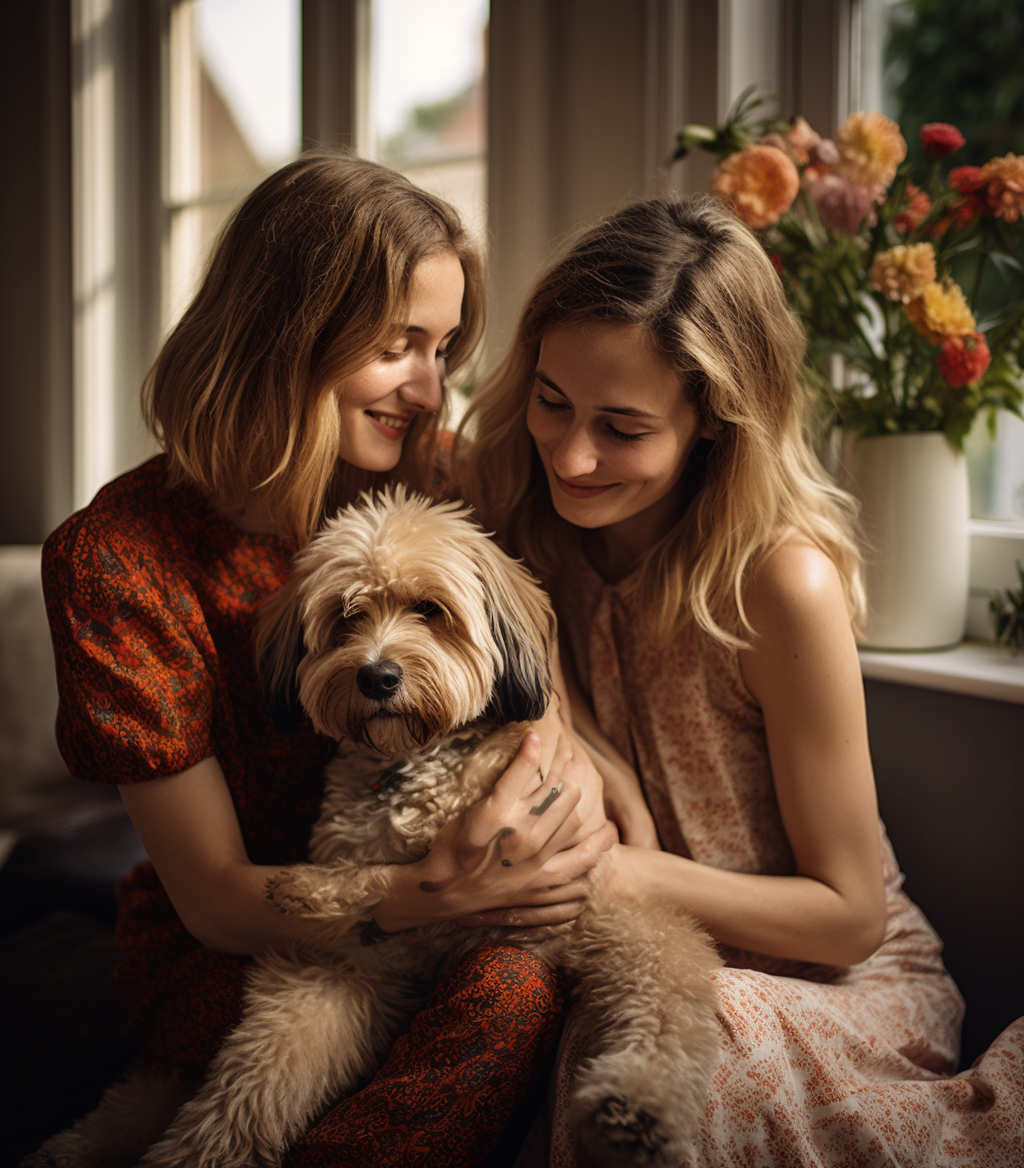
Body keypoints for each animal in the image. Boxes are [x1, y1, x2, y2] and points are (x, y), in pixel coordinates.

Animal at [29, 488, 719, 1163]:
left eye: (430, 610)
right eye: (346, 616)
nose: (377, 676)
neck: (415, 763)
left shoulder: (595, 912)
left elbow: (669, 1009)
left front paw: (638, 1105)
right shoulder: (347, 968)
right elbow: (260, 1077)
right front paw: (309, 889)